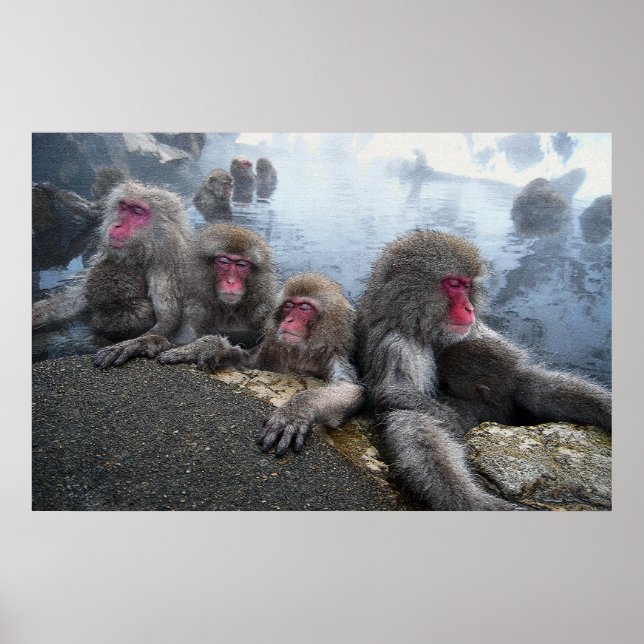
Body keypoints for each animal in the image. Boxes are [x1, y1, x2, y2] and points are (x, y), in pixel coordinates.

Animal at [33, 180, 191, 367]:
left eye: (137, 212)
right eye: (123, 207)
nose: (117, 225)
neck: (142, 252)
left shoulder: (166, 265)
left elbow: (168, 321)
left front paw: (133, 344)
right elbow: (71, 303)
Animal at [158, 273, 365, 456]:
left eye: (305, 308)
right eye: (289, 306)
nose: (289, 320)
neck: (300, 353)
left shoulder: (335, 358)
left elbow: (350, 389)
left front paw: (296, 411)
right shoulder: (270, 352)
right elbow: (244, 360)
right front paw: (207, 347)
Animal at [355, 229, 611, 511]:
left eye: (467, 285)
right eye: (453, 284)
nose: (469, 308)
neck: (417, 323)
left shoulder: (469, 331)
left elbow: (520, 379)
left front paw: (605, 408)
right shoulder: (397, 347)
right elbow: (408, 416)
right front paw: (469, 499)